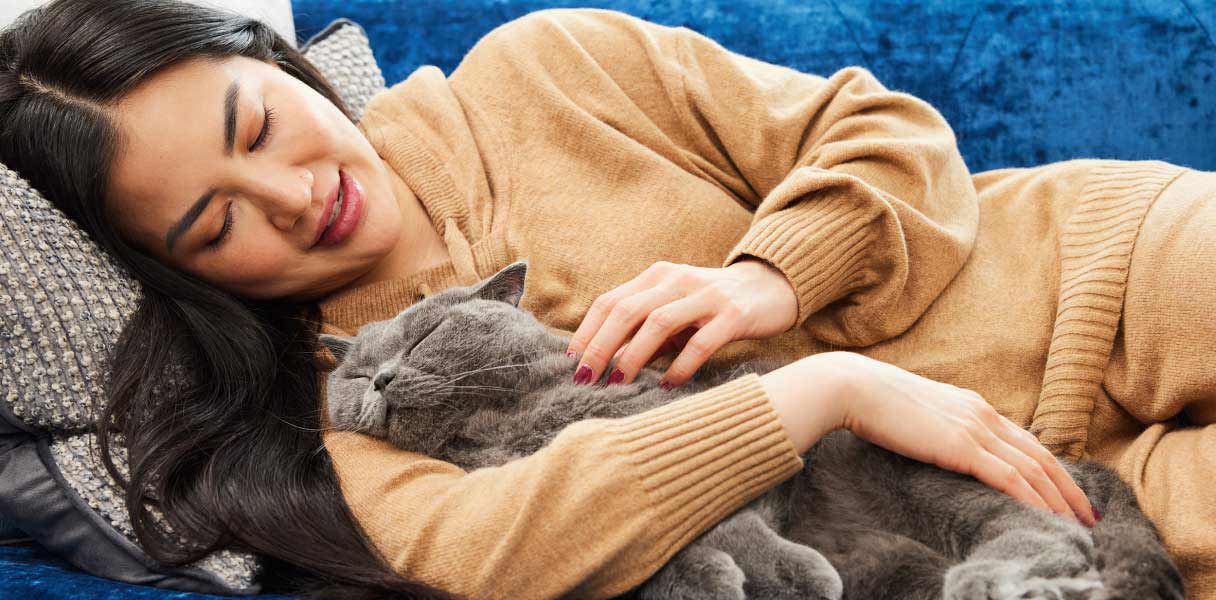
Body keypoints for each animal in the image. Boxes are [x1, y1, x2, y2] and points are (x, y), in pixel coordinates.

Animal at [321, 262, 1177, 598]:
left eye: (426, 336)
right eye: (353, 376)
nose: (382, 379)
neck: (504, 424)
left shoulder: (672, 416)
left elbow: (723, 517)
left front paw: (781, 576)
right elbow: (670, 542)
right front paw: (711, 582)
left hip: (925, 470)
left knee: (1051, 531)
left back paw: (993, 580)